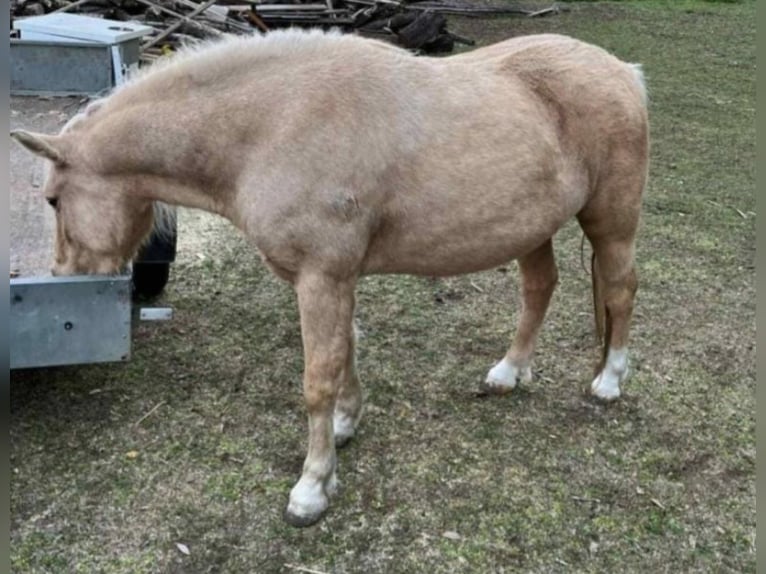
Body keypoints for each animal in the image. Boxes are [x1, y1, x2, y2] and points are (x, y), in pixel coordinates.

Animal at [11, 29, 649, 527]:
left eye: (52, 200)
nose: (63, 276)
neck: (273, 124)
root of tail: (624, 71)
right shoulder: (335, 279)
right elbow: (347, 351)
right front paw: (346, 425)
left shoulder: (322, 277)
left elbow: (318, 376)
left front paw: (312, 489)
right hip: (530, 229)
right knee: (539, 288)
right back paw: (508, 373)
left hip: (610, 223)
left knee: (620, 290)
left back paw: (609, 381)